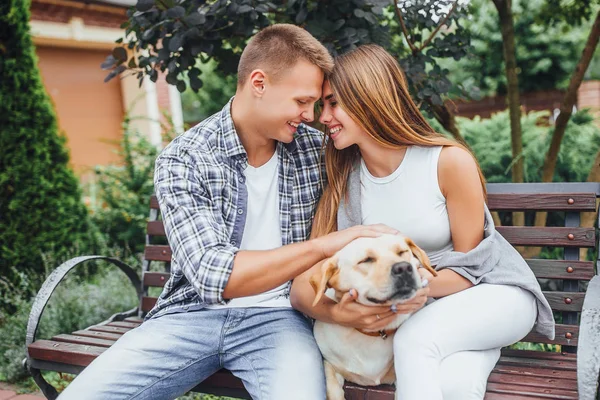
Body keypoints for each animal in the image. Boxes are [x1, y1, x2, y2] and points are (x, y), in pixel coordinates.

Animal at [310, 233, 436, 398]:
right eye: (366, 260)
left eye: (402, 252)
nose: (403, 267)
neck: (374, 334)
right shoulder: (329, 363)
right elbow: (334, 391)